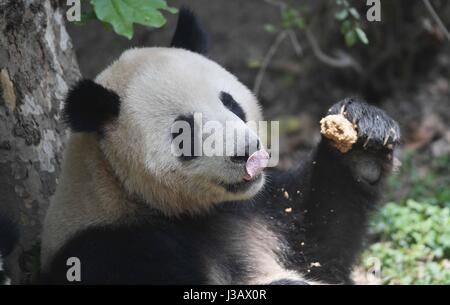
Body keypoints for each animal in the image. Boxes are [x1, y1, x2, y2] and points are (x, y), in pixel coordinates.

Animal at [41, 9, 400, 284]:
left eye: (230, 103)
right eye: (183, 131)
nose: (249, 151)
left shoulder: (260, 212)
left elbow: (321, 245)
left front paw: (365, 139)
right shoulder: (114, 248)